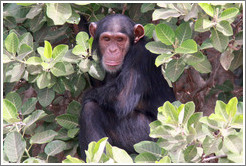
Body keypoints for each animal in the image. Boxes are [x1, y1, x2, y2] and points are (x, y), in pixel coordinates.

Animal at [79, 14, 175, 160]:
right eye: (106, 39)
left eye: (120, 39)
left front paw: (87, 95)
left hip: (147, 136)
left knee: (90, 109)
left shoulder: (139, 58)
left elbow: (122, 98)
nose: (112, 50)